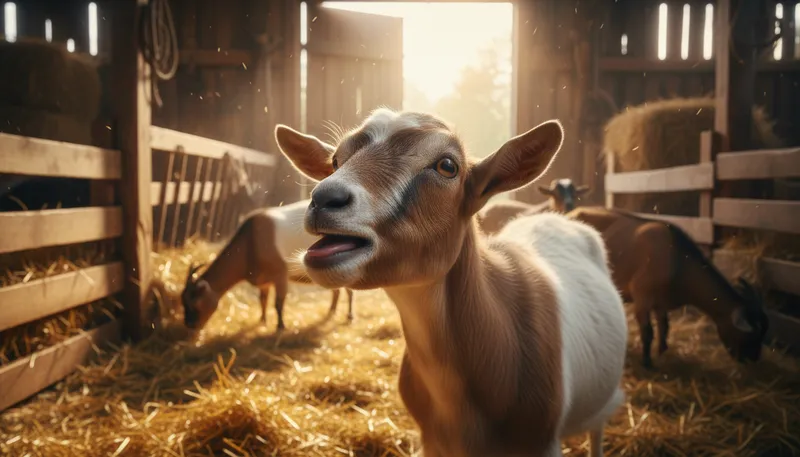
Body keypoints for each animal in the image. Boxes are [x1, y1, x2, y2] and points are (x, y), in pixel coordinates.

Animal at [181, 199, 354, 331]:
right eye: (183, 302)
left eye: (195, 302)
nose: (190, 326)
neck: (252, 242)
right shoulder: (264, 281)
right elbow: (263, 300)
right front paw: (262, 321)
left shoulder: (280, 274)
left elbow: (278, 303)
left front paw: (280, 327)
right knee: (337, 291)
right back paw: (331, 312)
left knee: (349, 292)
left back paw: (349, 316)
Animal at [567, 206, 769, 368]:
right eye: (751, 337)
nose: (752, 360)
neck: (677, 261)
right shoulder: (642, 296)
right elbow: (647, 331)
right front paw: (647, 363)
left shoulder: (661, 302)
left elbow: (664, 326)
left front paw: (662, 351)